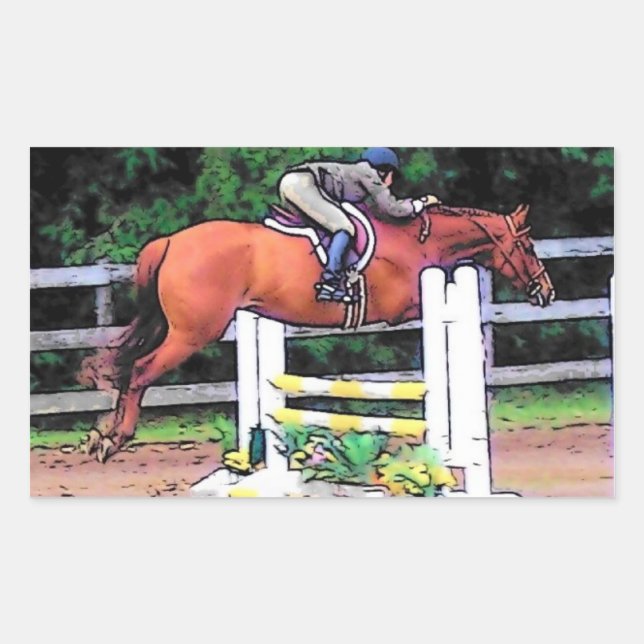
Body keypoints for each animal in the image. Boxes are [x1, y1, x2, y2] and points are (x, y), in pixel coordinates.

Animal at [80, 203, 556, 462]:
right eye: (527, 244)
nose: (546, 291)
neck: (416, 242)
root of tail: (172, 242)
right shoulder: (404, 306)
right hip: (190, 335)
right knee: (140, 372)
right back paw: (112, 440)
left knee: (130, 367)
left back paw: (101, 435)